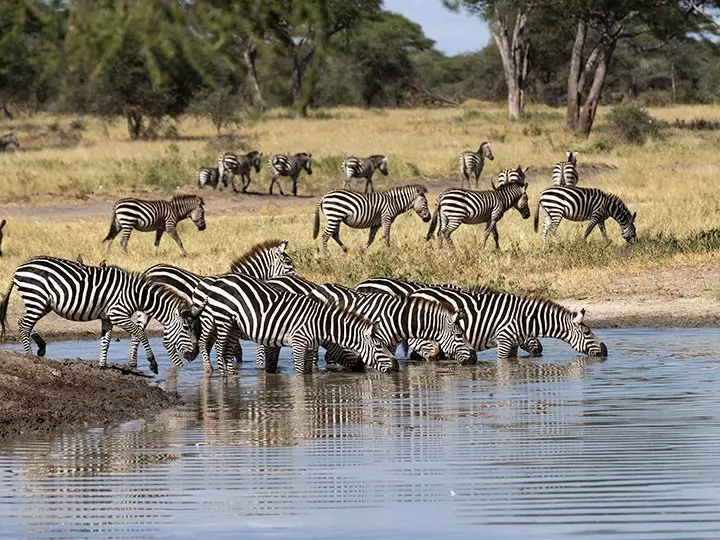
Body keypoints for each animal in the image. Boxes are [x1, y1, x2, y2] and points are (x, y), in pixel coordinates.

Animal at [0, 256, 203, 374]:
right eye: (186, 328)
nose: (194, 355)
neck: (135, 295)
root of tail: (19, 267)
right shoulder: (118, 314)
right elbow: (139, 333)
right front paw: (153, 363)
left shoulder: (107, 318)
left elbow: (106, 340)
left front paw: (102, 365)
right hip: (37, 299)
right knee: (24, 324)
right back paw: (29, 355)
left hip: (43, 303)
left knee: (25, 323)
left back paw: (38, 348)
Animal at [137, 240, 296, 373]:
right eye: (289, 263)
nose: (298, 278)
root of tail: (149, 270)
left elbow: (234, 351)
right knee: (167, 341)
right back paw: (180, 366)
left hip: (146, 310)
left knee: (138, 334)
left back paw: (135, 364)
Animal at [190, 273, 397, 375]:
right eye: (380, 346)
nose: (396, 367)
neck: (320, 323)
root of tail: (217, 280)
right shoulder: (298, 342)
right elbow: (299, 373)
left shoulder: (308, 345)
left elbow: (306, 371)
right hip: (220, 318)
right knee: (216, 347)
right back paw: (219, 373)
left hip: (234, 325)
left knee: (226, 350)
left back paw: (232, 375)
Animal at [408, 286, 607, 361]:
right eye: (587, 333)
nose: (605, 351)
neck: (524, 319)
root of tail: (416, 292)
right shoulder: (504, 341)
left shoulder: (512, 345)